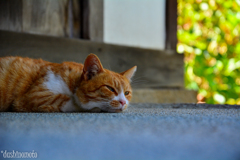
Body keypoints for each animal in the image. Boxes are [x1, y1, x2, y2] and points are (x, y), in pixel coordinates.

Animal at [0, 53, 136, 112]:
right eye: (110, 89)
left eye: (127, 93)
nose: (123, 102)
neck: (72, 84)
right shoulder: (35, 96)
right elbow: (69, 101)